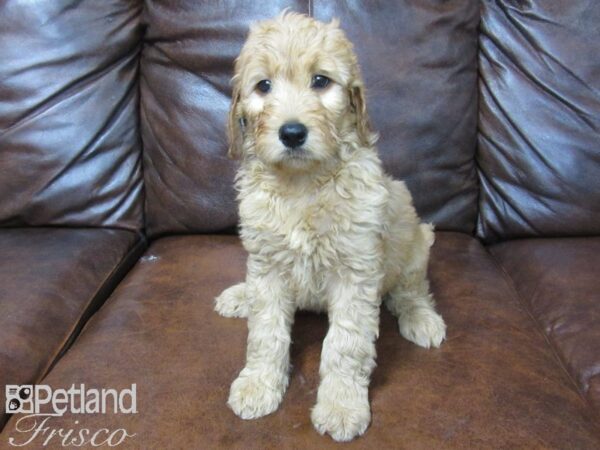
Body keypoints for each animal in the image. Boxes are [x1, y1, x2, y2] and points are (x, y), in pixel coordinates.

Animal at [216, 11, 446, 442]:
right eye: (263, 85)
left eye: (321, 81)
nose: (292, 133)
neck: (302, 184)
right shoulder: (267, 266)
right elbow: (265, 333)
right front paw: (258, 384)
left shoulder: (355, 272)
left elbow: (345, 344)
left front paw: (341, 406)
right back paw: (239, 295)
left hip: (412, 236)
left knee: (410, 291)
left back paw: (420, 318)